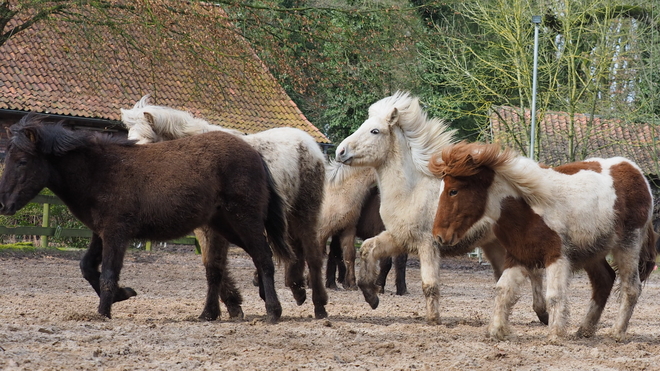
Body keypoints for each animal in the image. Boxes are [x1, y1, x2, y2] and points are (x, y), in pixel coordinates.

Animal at [0, 115, 292, 324]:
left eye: (23, 161)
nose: (4, 204)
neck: (99, 170)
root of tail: (254, 154)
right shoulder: (101, 233)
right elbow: (87, 267)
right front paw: (123, 295)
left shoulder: (117, 233)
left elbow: (108, 273)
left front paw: (104, 311)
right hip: (226, 226)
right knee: (242, 262)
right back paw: (211, 314)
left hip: (244, 220)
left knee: (264, 257)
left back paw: (273, 310)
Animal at [120, 95, 328, 320]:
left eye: (148, 143)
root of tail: (309, 143)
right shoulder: (206, 229)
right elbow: (212, 264)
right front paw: (228, 306)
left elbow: (216, 264)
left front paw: (218, 309)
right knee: (294, 251)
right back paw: (296, 289)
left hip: (305, 213)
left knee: (312, 255)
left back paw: (319, 305)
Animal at [336, 92, 548, 326]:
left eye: (375, 131)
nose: (340, 151)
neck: (412, 191)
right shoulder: (399, 238)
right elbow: (367, 249)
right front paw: (371, 297)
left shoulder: (428, 244)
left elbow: (429, 285)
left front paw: (433, 319)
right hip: (494, 245)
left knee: (535, 272)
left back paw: (543, 313)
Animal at [430, 142, 656, 342]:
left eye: (453, 191)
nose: (439, 235)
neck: (527, 209)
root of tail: (636, 172)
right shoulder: (517, 256)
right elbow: (503, 290)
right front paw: (496, 331)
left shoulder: (556, 255)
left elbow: (554, 295)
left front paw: (555, 334)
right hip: (594, 251)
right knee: (604, 280)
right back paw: (584, 330)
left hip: (628, 245)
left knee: (631, 287)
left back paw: (616, 333)